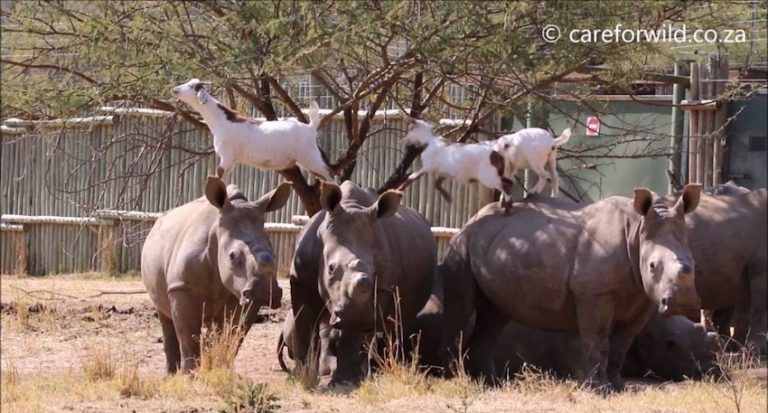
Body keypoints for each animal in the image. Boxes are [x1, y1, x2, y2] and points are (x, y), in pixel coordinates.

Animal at [141, 177, 291, 373]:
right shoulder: (181, 287)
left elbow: (233, 336)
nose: (265, 292)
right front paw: (189, 375)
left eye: (274, 255)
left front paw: (220, 370)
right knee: (164, 315)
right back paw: (170, 375)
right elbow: (188, 336)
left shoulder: (243, 296)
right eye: (232, 256)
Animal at [171, 78, 334, 181]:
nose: (174, 90)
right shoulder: (233, 160)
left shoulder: (227, 155)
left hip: (311, 157)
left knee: (331, 177)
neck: (222, 120)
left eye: (192, 86)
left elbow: (218, 177)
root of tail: (311, 127)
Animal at [284, 181, 436, 384]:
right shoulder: (300, 279)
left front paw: (345, 380)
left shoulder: (382, 288)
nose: (356, 315)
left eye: (375, 272)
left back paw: (379, 368)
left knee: (393, 323)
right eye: (330, 268)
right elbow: (304, 322)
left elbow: (354, 332)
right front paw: (303, 376)